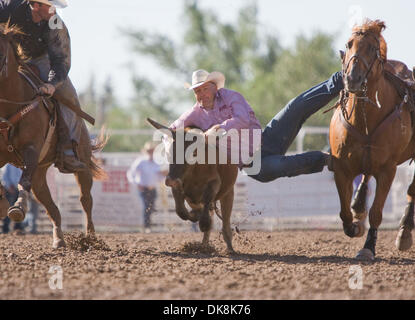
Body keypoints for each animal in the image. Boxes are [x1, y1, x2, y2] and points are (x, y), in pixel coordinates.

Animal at [0, 24, 108, 248]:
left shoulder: (31, 149)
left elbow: (23, 181)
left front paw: (17, 207)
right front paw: (3, 203)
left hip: (81, 164)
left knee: (85, 200)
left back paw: (90, 237)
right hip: (40, 173)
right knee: (50, 206)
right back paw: (59, 238)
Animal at [334, 19, 415, 260]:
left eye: (372, 48)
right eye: (348, 43)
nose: (352, 78)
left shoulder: (388, 170)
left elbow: (377, 212)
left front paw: (368, 247)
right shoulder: (340, 167)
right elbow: (344, 212)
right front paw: (354, 225)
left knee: (411, 191)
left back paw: (404, 232)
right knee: (365, 176)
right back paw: (358, 205)